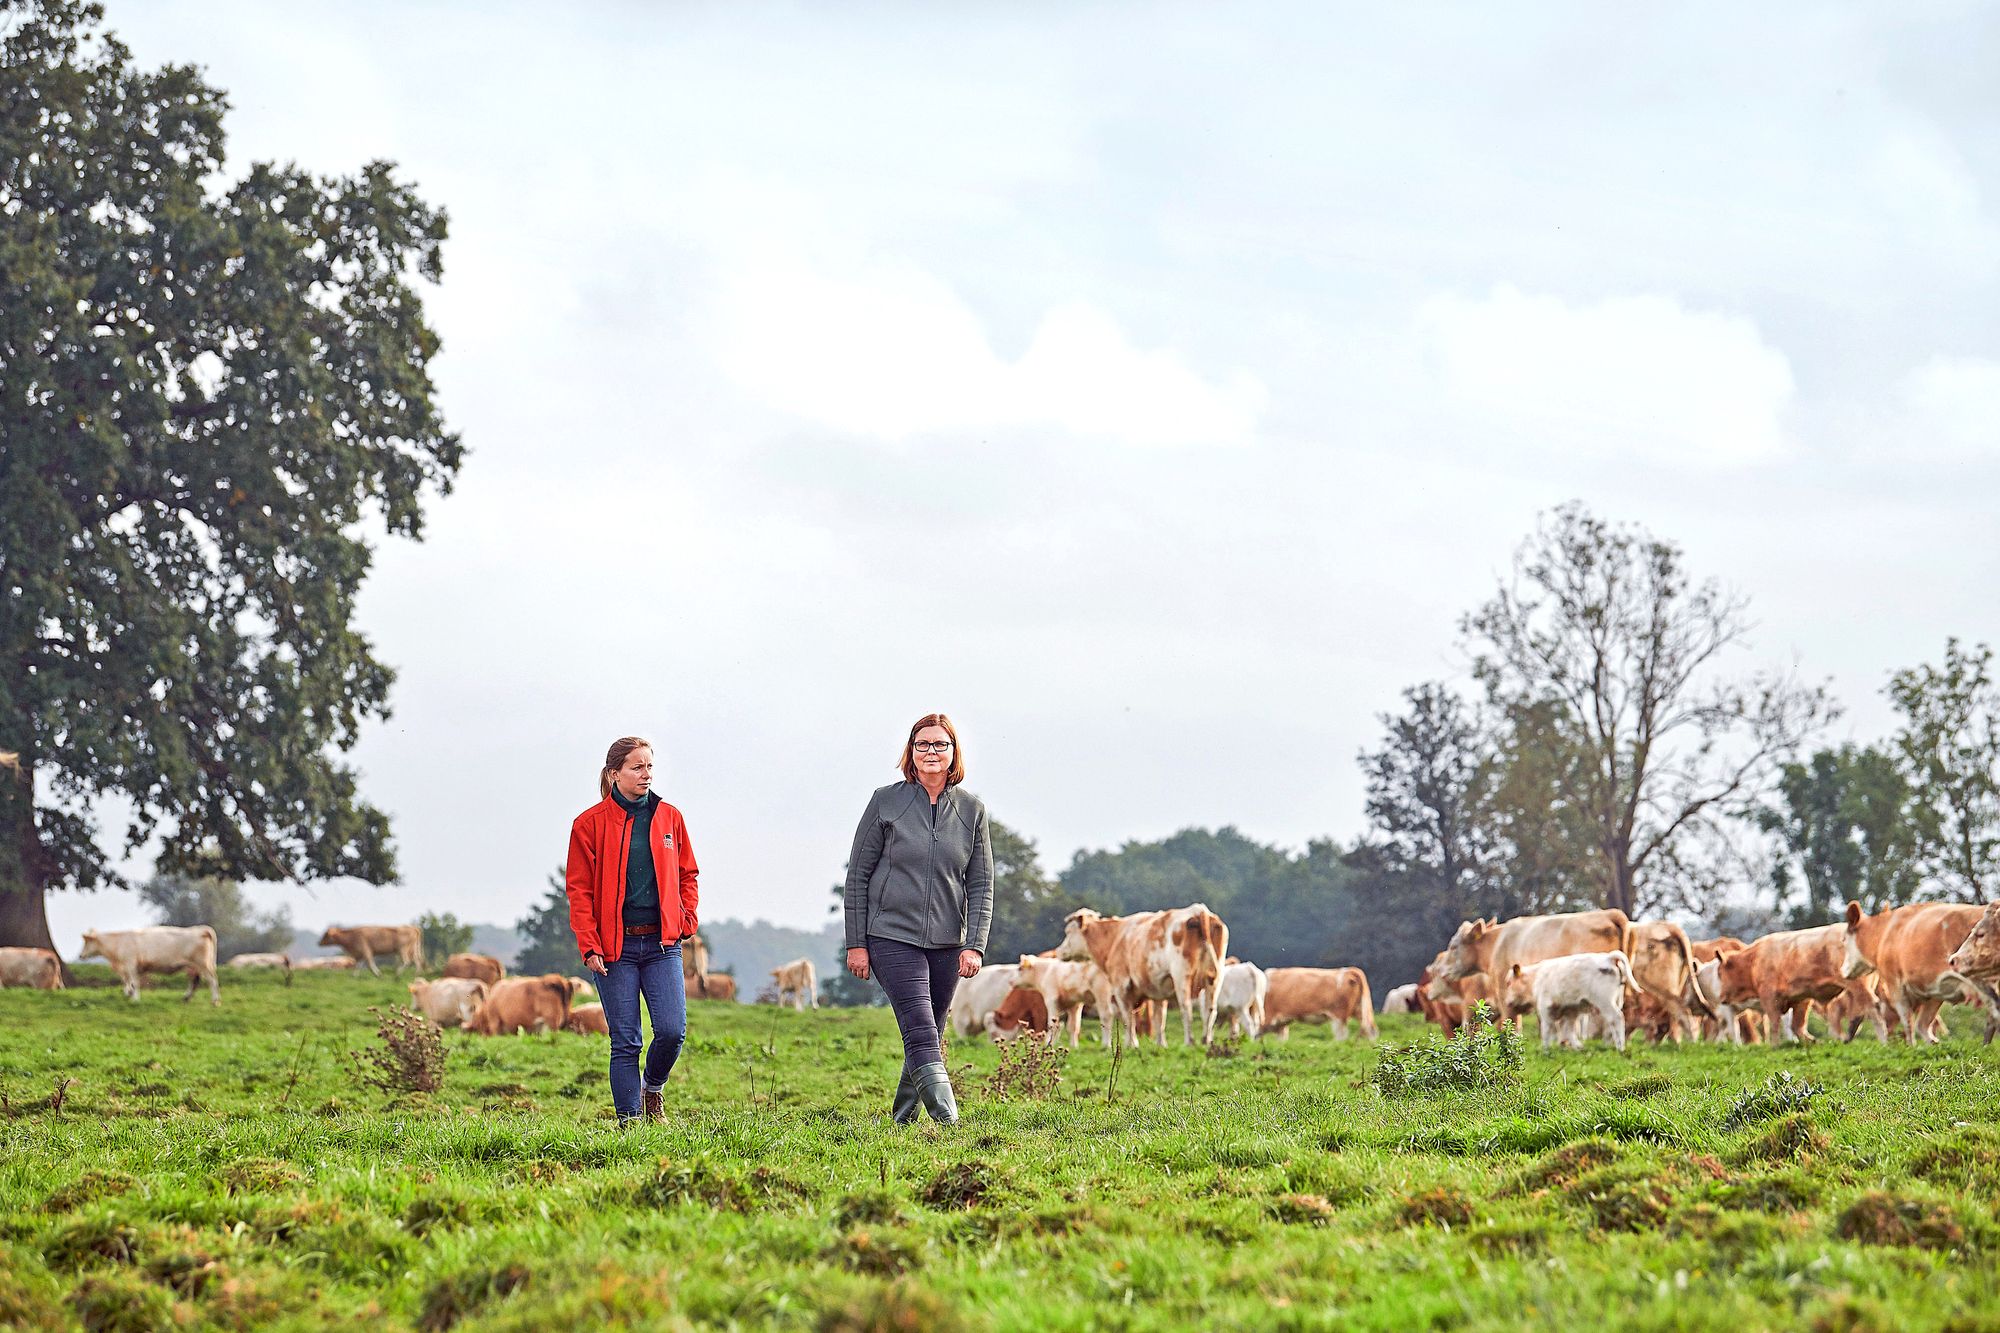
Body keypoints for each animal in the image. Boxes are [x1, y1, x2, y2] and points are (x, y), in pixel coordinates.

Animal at [80, 928, 219, 1000]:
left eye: (86, 942)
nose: (80, 956)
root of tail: (200, 929)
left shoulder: (130, 965)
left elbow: (134, 983)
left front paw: (135, 999)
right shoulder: (129, 968)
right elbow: (128, 982)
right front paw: (129, 994)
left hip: (203, 965)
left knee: (212, 980)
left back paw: (215, 1001)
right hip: (192, 966)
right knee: (194, 980)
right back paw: (186, 997)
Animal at [1056, 896, 1224, 1040]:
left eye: (1068, 932)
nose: (1059, 951)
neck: (1115, 938)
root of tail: (1198, 910)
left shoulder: (1121, 985)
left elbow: (1128, 1017)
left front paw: (1131, 1044)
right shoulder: (1159, 990)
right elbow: (1159, 1019)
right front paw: (1160, 1044)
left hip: (1182, 977)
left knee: (1186, 1009)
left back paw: (1189, 1041)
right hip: (1214, 978)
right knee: (1210, 1010)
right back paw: (1206, 1040)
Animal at [1248, 964, 1376, 1040]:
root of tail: (1349, 970)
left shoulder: (1268, 1017)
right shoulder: (1281, 1023)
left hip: (1339, 1016)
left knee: (1342, 1036)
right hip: (1360, 1010)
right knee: (1371, 1030)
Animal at [1840, 896, 2000, 1040]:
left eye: (1844, 940)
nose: (1842, 971)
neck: (1885, 933)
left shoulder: (1896, 986)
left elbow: (1908, 1023)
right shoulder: (1934, 991)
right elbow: (1922, 1026)